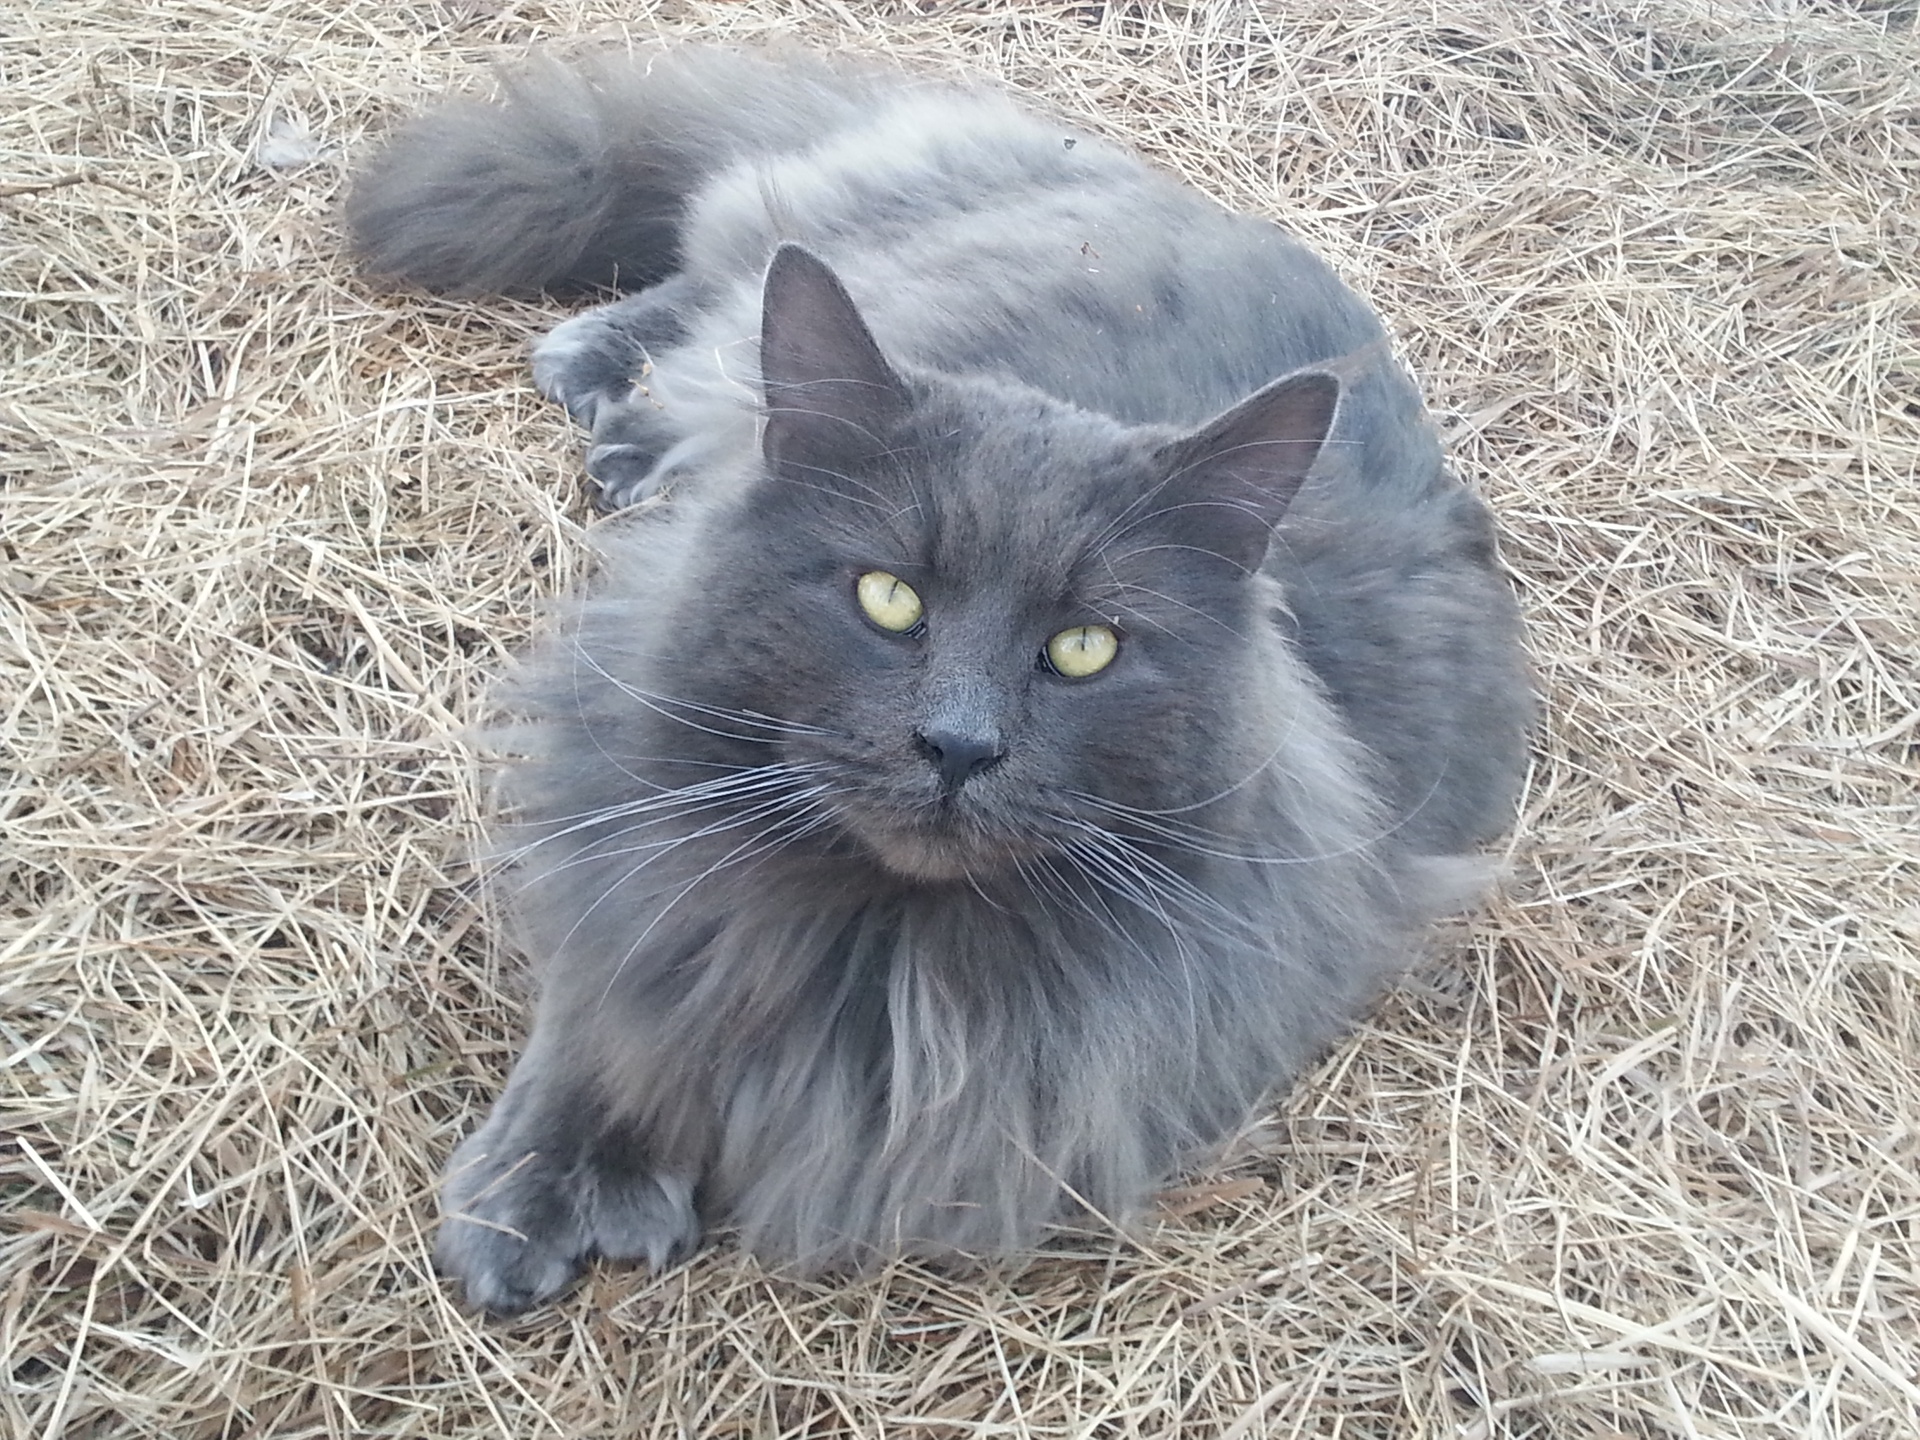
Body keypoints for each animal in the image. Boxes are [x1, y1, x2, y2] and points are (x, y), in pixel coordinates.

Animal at [345, 42, 1528, 1320]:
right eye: (889, 600)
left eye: (1085, 649)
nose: (958, 746)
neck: (883, 946)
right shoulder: (630, 832)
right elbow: (609, 1004)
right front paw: (537, 1185)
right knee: (720, 267)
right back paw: (612, 394)